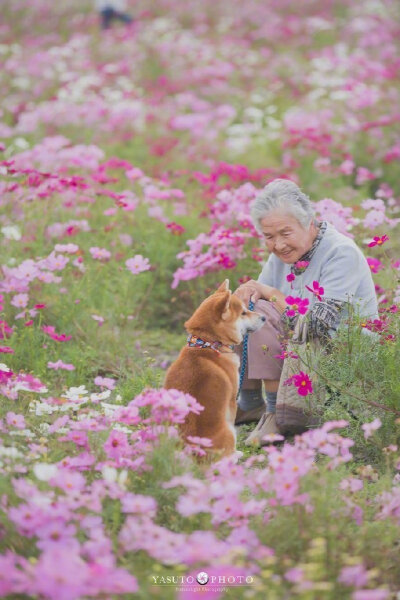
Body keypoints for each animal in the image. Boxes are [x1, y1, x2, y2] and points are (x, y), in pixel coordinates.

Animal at [162, 278, 266, 458]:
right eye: (243, 313)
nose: (264, 318)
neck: (207, 344)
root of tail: (193, 450)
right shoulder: (231, 401)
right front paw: (236, 452)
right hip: (228, 431)